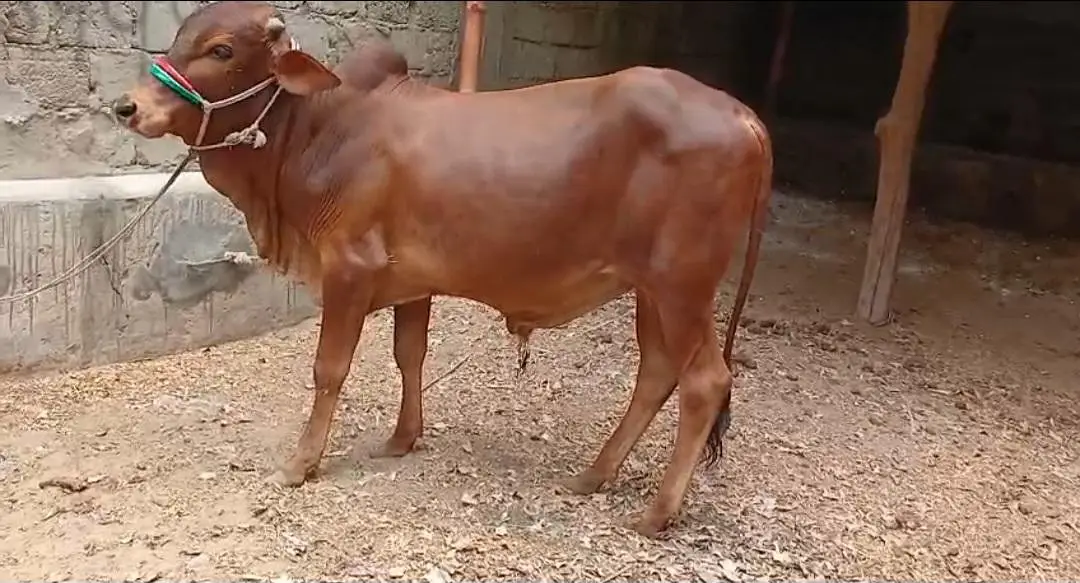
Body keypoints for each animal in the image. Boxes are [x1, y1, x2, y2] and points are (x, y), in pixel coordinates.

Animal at [113, 1, 773, 537]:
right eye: (179, 37)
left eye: (221, 49)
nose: (127, 106)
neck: (316, 129)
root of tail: (743, 114)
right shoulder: (411, 282)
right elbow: (411, 354)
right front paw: (403, 438)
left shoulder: (349, 268)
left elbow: (330, 369)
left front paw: (301, 464)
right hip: (651, 290)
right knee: (657, 372)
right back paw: (593, 476)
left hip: (683, 285)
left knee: (704, 382)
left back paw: (656, 513)